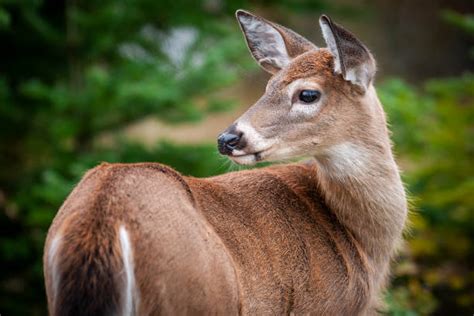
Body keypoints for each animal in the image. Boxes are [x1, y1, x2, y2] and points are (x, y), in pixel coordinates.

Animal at [43, 9, 408, 316]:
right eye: (269, 86)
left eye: (307, 94)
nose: (228, 138)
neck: (362, 241)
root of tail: (103, 223)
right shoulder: (322, 306)